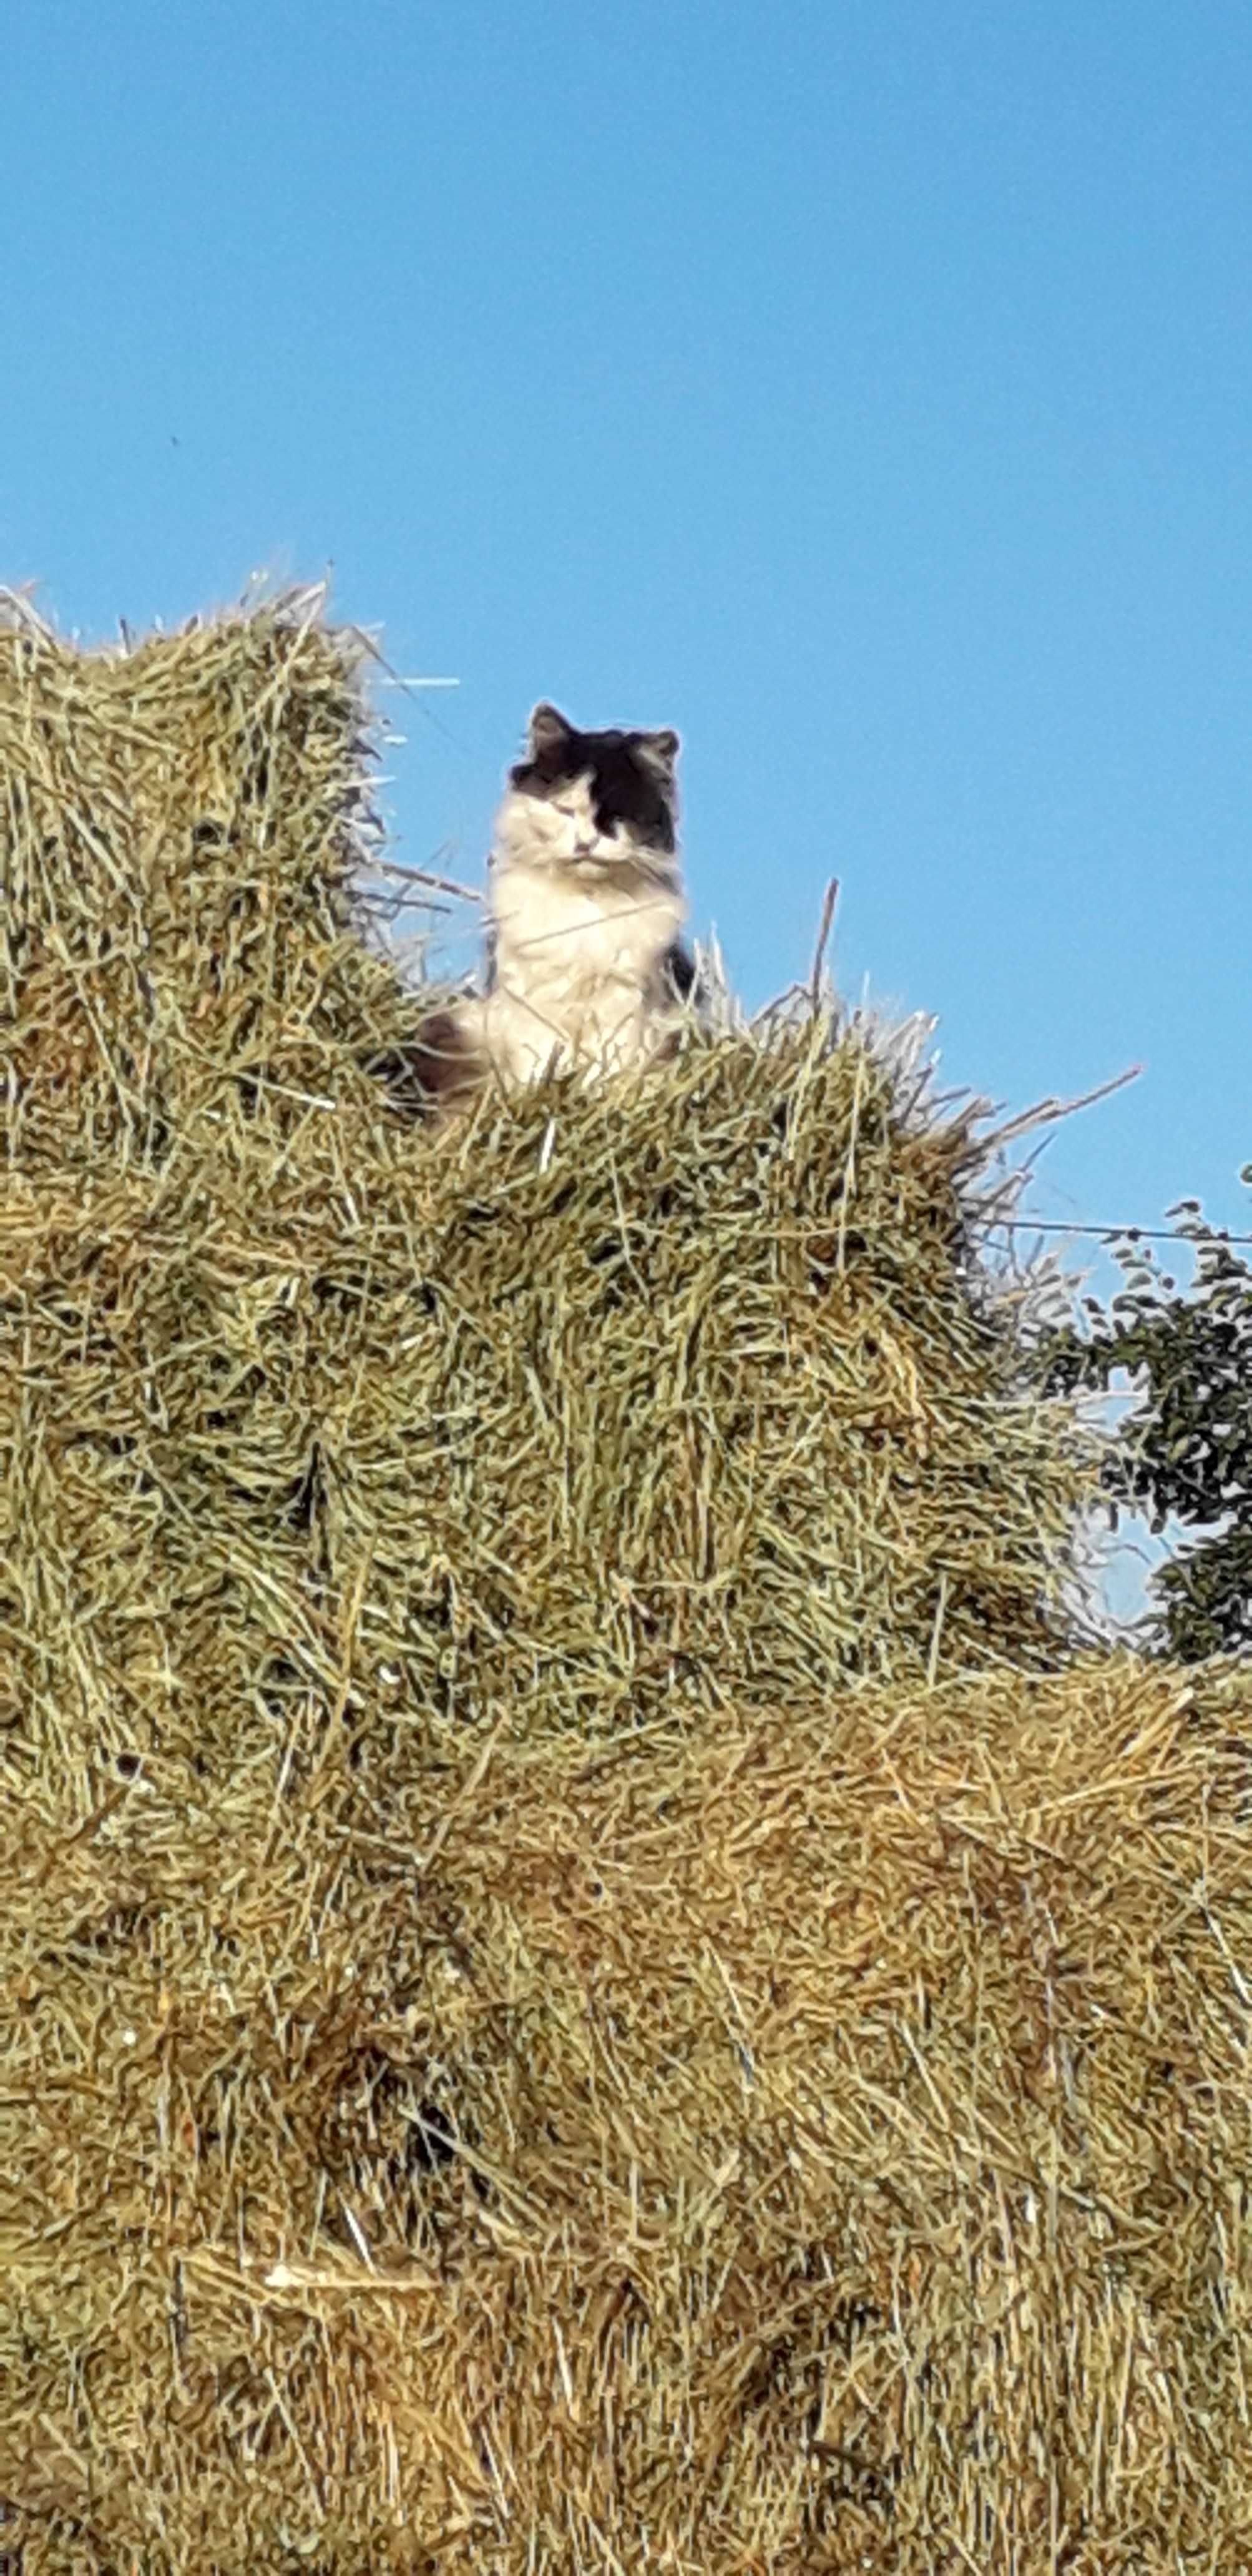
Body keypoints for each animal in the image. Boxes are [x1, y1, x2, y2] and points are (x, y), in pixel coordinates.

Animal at [412, 700, 700, 1113]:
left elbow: (608, 1068)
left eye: (614, 818)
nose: (584, 844)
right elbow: (539, 1060)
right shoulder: (533, 1001)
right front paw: (539, 1100)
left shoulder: (622, 1004)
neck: (583, 904)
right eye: (564, 810)